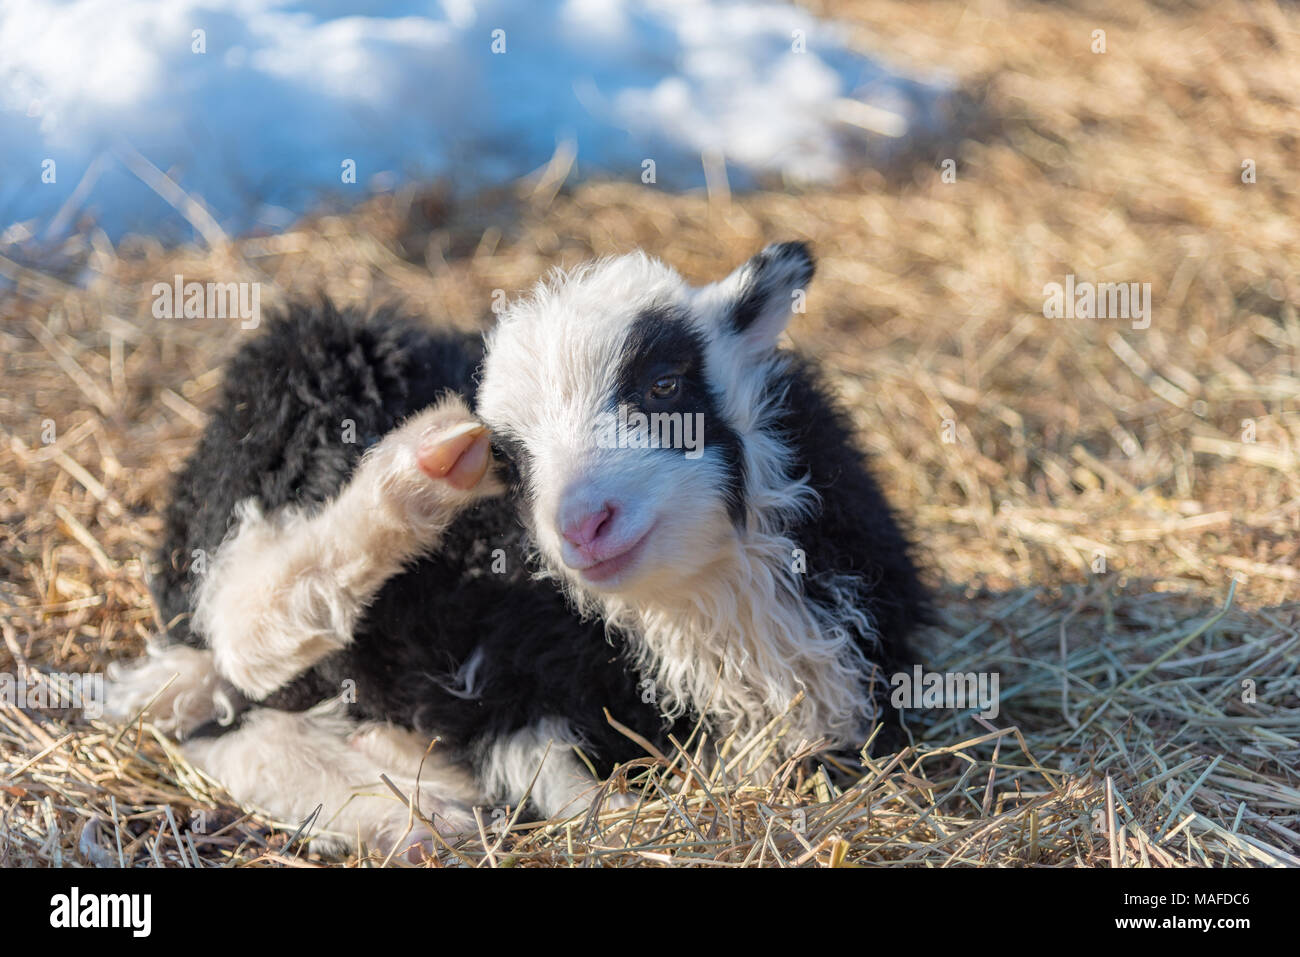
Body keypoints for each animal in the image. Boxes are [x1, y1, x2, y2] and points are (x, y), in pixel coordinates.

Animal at [106, 243, 930, 858]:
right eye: (508, 454)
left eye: (665, 384)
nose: (580, 526)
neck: (691, 601)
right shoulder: (509, 679)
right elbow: (577, 795)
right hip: (293, 398)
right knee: (243, 635)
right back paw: (419, 476)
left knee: (225, 713)